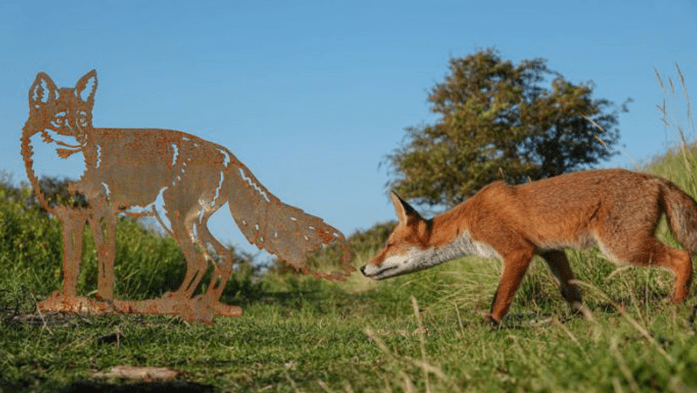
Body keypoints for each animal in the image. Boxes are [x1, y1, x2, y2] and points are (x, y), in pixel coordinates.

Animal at [364, 170, 696, 324]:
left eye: (388, 244)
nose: (363, 268)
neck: (468, 222)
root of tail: (654, 178)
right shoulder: (550, 251)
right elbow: (570, 291)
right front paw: (584, 317)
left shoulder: (517, 252)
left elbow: (500, 297)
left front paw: (491, 323)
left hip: (622, 247)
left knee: (683, 258)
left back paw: (677, 302)